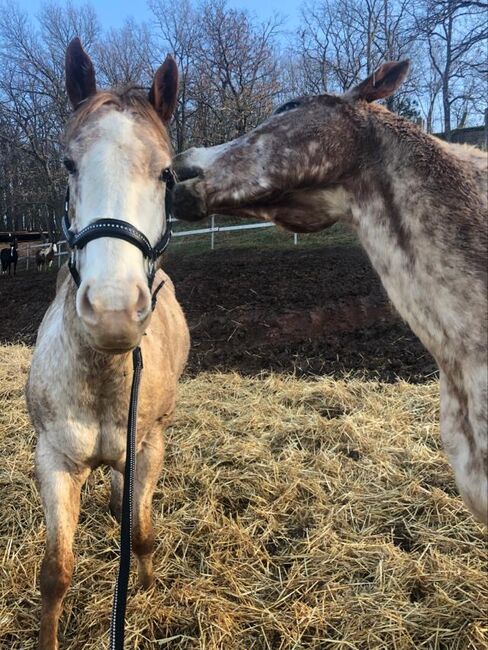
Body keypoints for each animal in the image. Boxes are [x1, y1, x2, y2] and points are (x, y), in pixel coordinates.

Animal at [24, 38, 190, 644]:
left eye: (166, 174)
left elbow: (139, 531)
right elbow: (55, 573)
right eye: (69, 165)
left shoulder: (147, 449)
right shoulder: (52, 459)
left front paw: (147, 590)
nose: (114, 312)